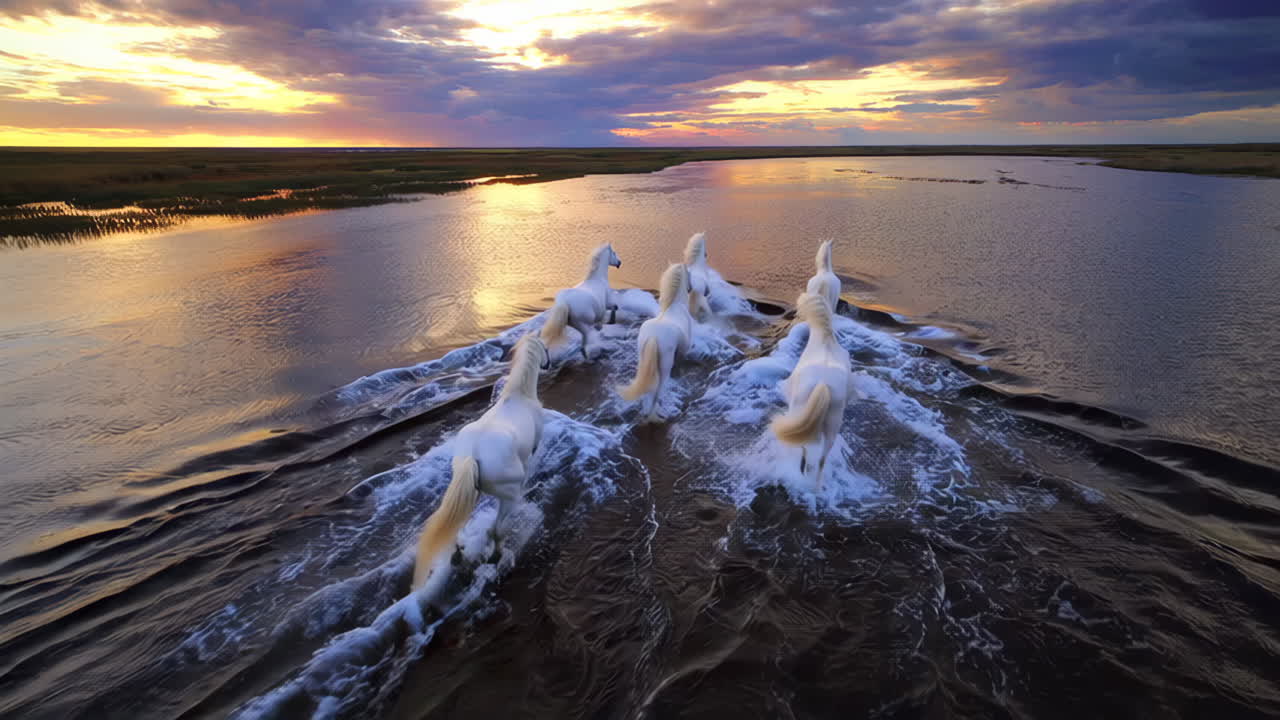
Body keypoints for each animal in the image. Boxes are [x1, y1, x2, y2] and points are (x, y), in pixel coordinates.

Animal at [413, 333, 551, 588]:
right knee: (497, 530)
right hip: (506, 496)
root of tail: (472, 455)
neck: (520, 396)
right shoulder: (534, 448)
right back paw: (497, 555)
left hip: (470, 493)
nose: (547, 363)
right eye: (544, 347)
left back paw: (458, 555)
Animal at [619, 263, 694, 423]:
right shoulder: (683, 351)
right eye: (689, 274)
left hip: (643, 361)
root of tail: (653, 337)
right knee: (657, 391)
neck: (674, 305)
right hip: (664, 367)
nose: (690, 288)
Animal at [771, 292, 852, 490]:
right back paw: (816, 487)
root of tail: (823, 383)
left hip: (800, 410)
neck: (825, 338)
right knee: (822, 459)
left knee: (805, 447)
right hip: (832, 424)